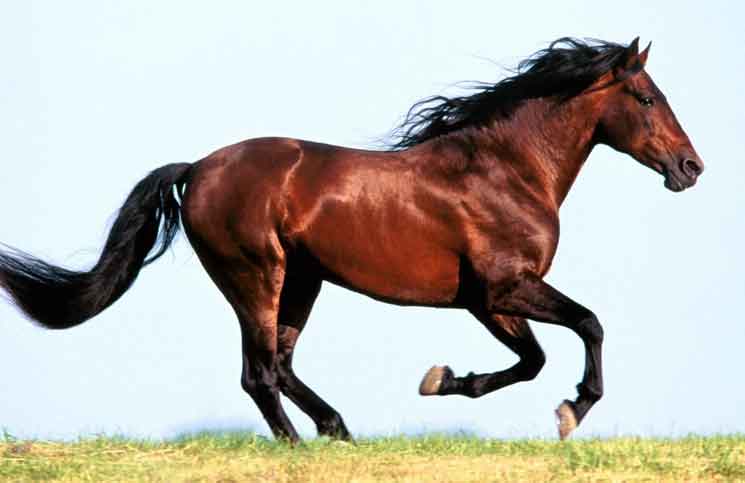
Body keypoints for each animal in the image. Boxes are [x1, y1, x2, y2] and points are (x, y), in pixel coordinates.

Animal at [0, 37, 704, 442]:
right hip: (255, 275)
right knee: (259, 372)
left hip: (303, 281)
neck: (505, 170)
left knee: (281, 365)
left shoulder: (487, 301)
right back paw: (300, 445)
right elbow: (587, 325)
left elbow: (532, 359)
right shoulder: (506, 287)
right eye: (647, 97)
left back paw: (338, 430)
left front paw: (442, 380)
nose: (691, 167)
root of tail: (196, 168)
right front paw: (572, 411)